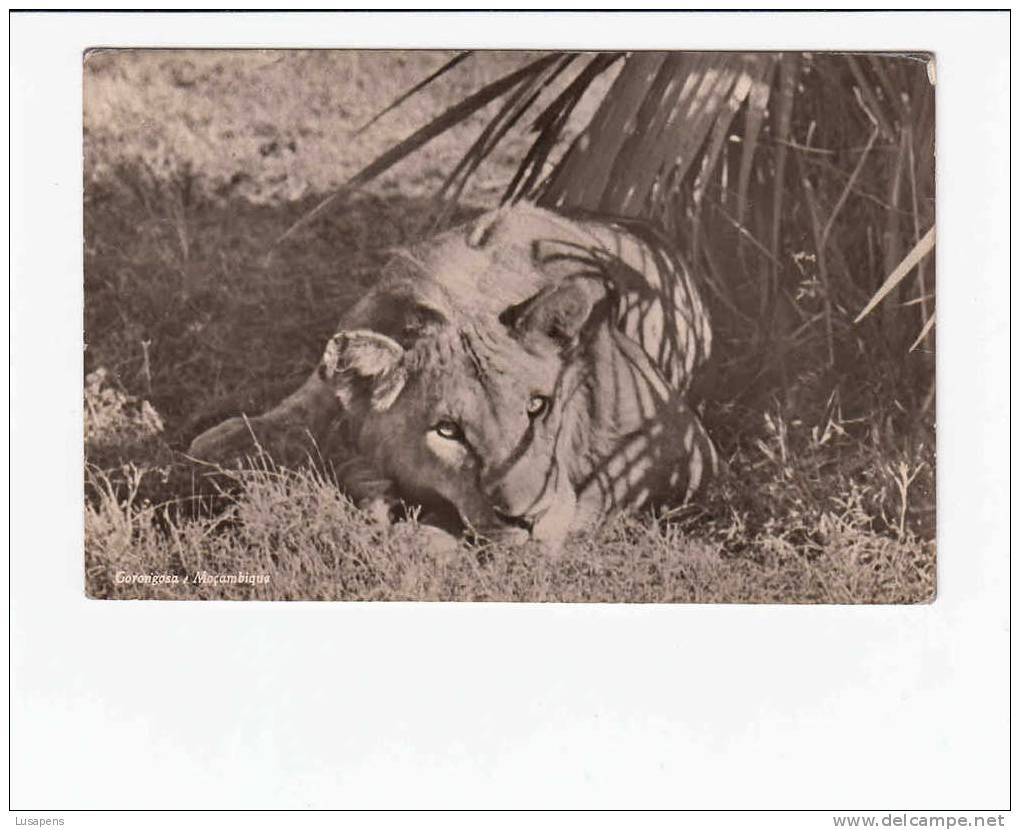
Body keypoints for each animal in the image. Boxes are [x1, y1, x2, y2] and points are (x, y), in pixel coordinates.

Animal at [191, 204, 718, 550]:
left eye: (538, 407)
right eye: (448, 431)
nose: (529, 518)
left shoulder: (685, 448)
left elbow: (599, 490)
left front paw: (417, 526)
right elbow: (271, 426)